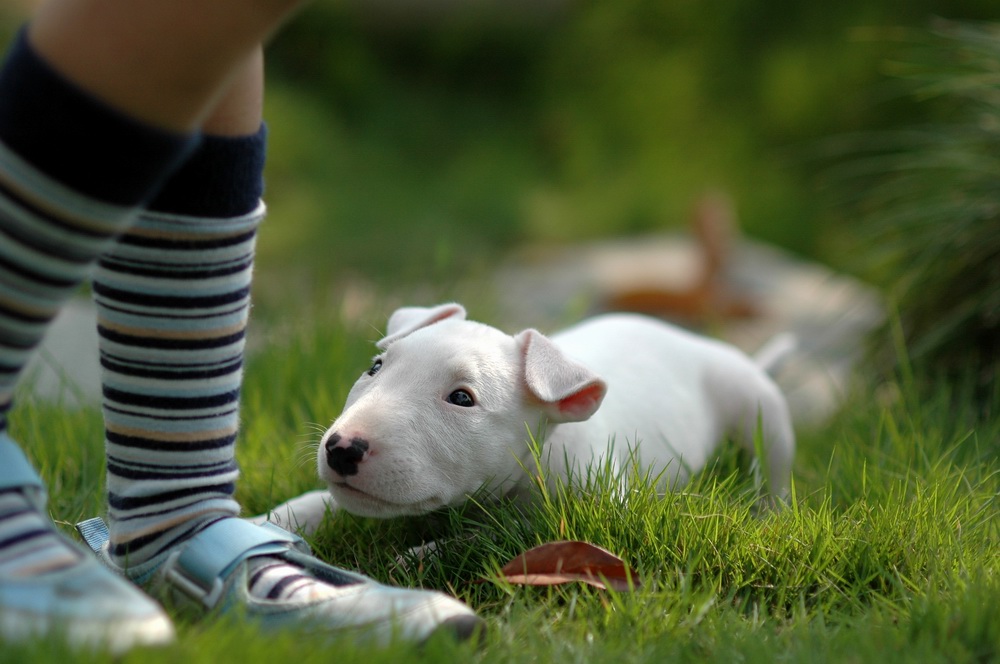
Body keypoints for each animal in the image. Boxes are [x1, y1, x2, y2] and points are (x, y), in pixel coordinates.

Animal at [260, 306, 796, 536]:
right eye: (375, 368)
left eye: (462, 398)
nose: (341, 448)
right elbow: (315, 504)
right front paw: (270, 520)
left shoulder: (586, 507)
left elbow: (496, 535)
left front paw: (420, 556)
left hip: (760, 407)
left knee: (773, 469)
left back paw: (769, 514)